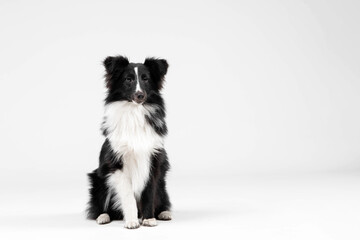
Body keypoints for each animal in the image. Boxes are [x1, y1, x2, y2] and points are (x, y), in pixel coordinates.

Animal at [87, 55, 172, 229]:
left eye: (146, 79)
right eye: (128, 79)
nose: (140, 95)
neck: (135, 112)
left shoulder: (153, 161)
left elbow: (149, 193)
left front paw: (148, 219)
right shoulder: (117, 165)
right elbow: (128, 196)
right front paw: (132, 221)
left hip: (162, 182)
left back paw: (163, 213)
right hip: (98, 180)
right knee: (101, 206)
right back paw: (103, 217)